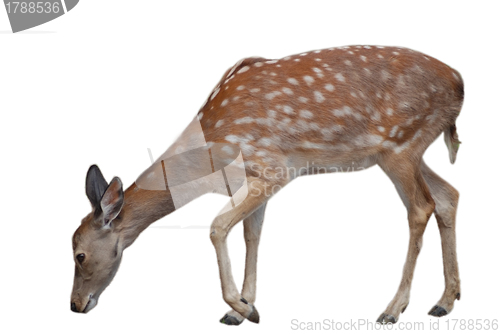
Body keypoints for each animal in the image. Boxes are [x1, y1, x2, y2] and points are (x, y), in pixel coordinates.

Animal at [70, 44, 464, 324]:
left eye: (79, 254)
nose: (75, 305)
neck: (211, 147)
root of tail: (460, 83)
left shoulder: (274, 168)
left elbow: (217, 227)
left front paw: (245, 309)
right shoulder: (252, 179)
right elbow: (251, 234)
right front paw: (240, 308)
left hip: (401, 146)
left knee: (421, 207)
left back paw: (392, 309)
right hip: (406, 152)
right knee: (449, 194)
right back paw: (444, 301)